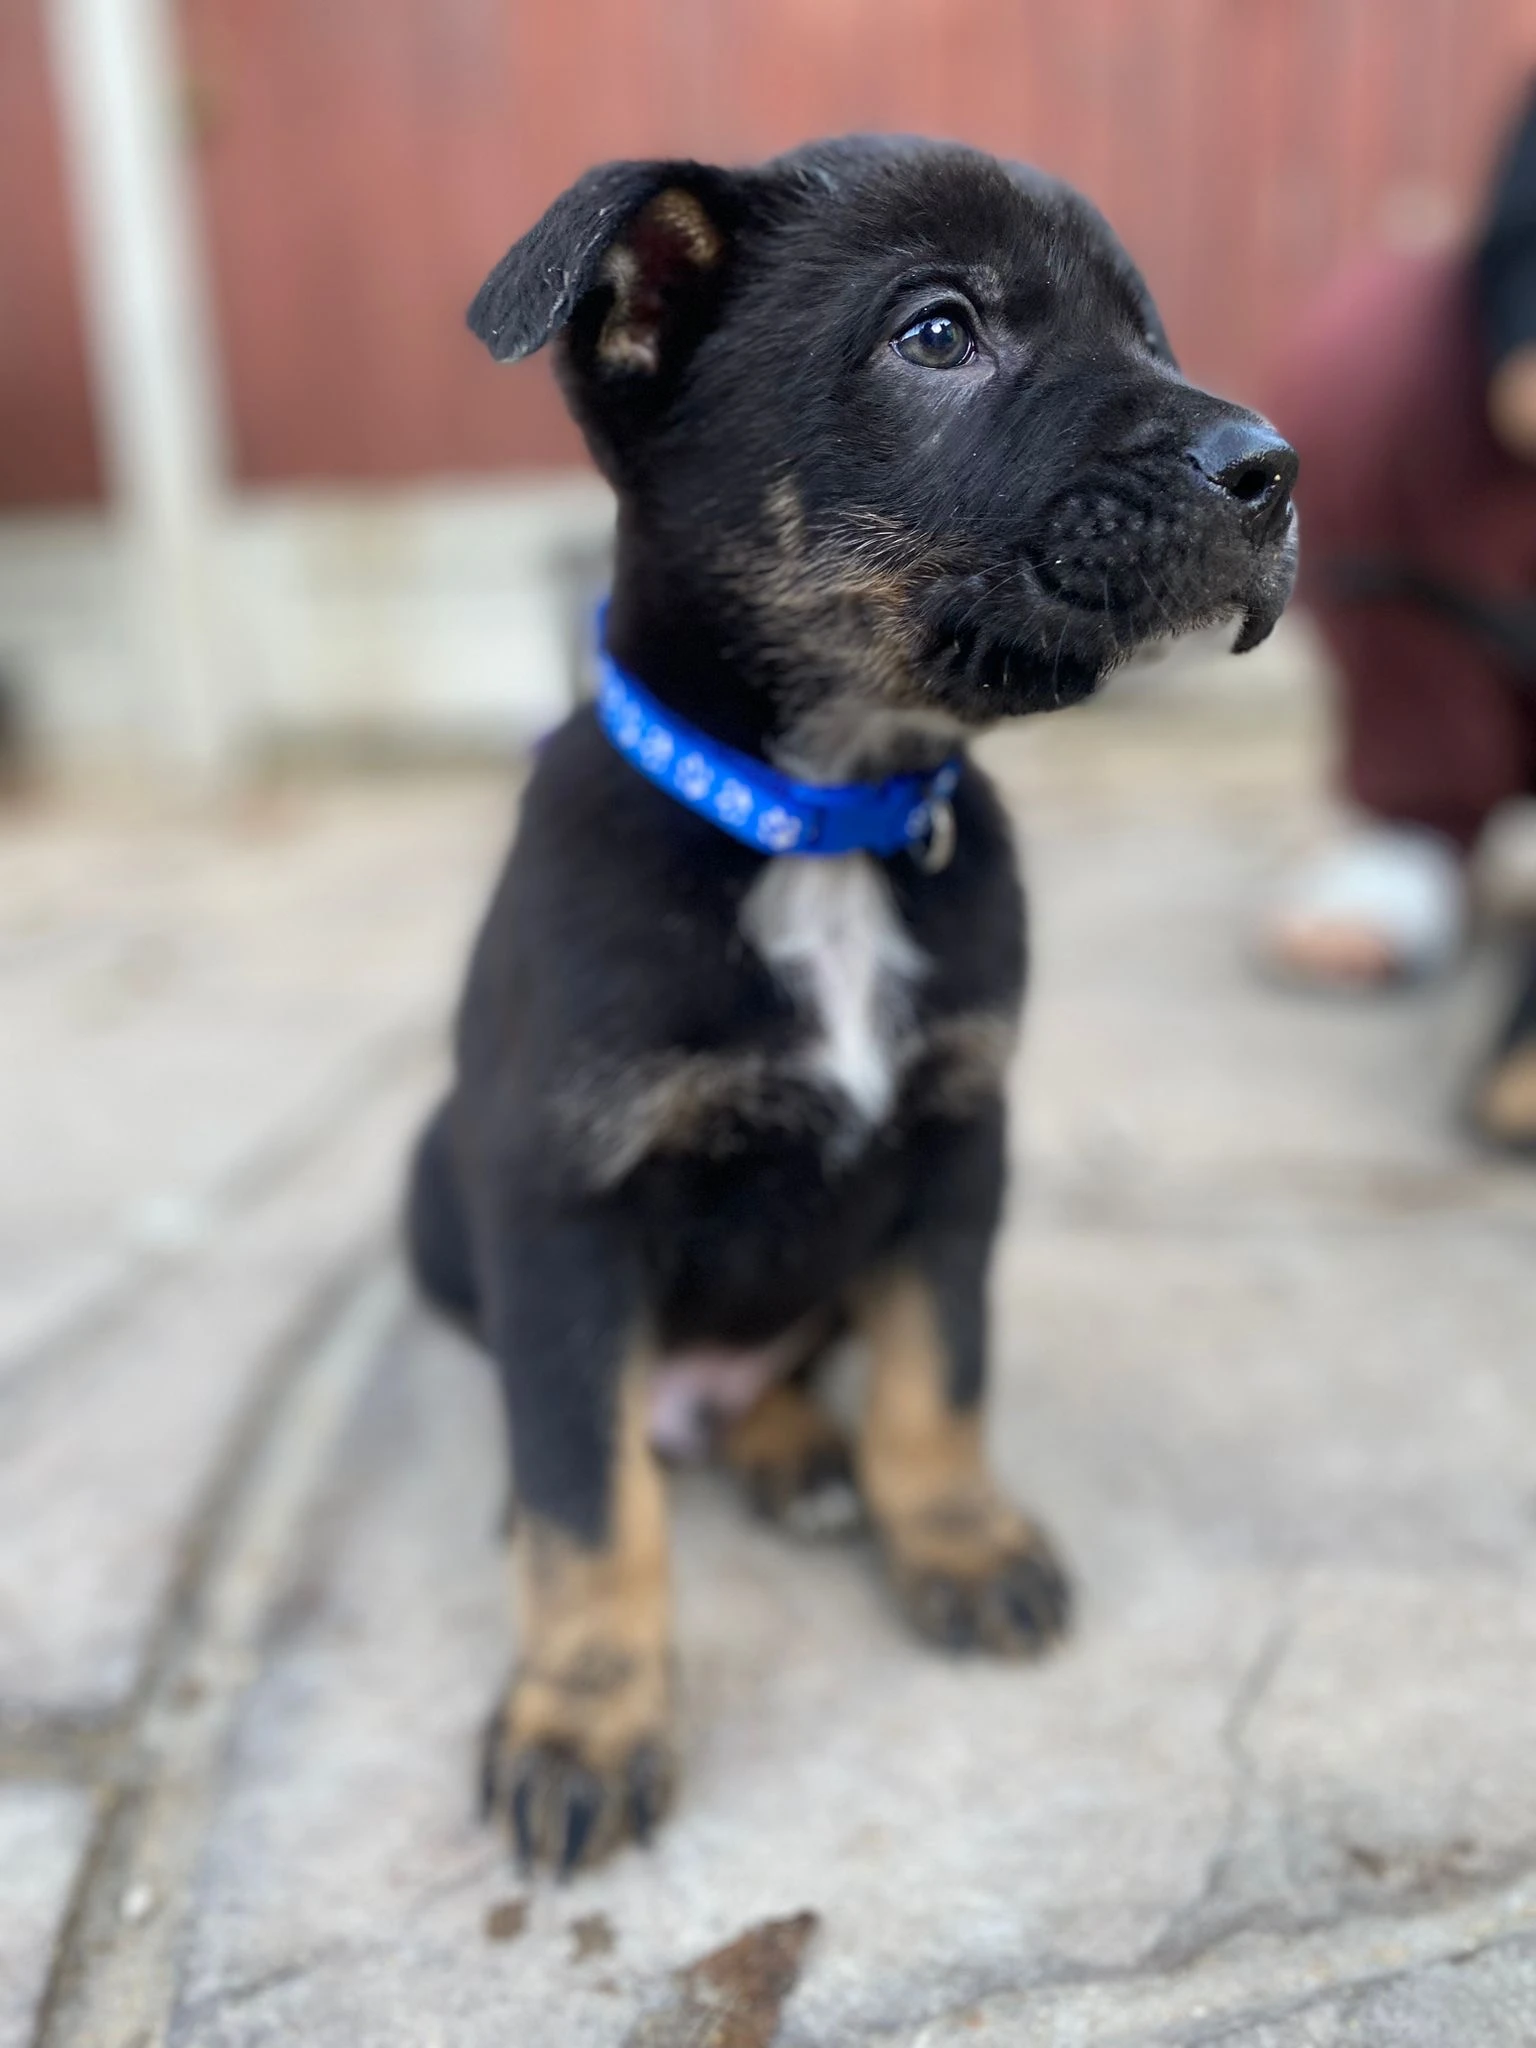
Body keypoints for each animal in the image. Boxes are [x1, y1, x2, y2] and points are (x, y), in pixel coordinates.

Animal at [409, 136, 1302, 1875]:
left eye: (1147, 328)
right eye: (938, 332)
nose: (1279, 472)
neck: (825, 816)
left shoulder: (958, 1139)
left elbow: (932, 1378)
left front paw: (956, 1541)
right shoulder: (560, 1200)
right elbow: (587, 1501)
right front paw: (583, 1713)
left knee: (771, 1370)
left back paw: (794, 1452)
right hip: (437, 1181)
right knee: (582, 1415)